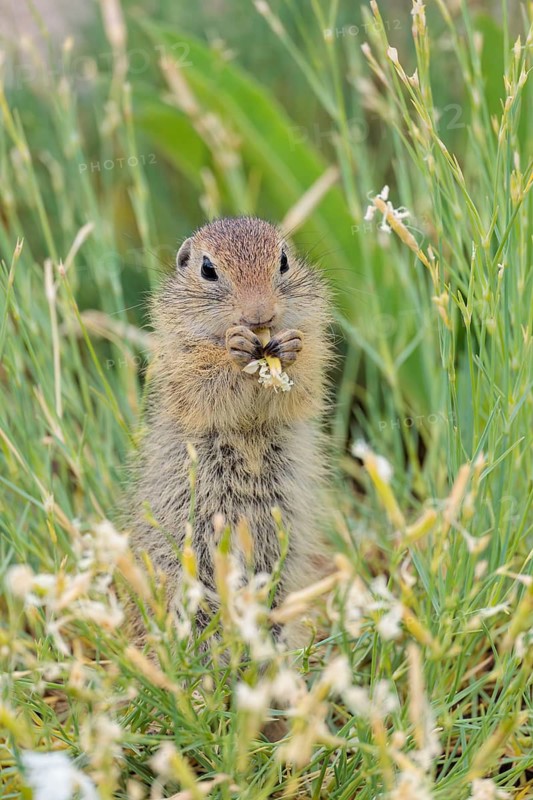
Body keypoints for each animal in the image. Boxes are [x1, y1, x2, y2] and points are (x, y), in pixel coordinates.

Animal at [129, 216, 332, 649]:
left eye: (284, 261)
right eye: (208, 269)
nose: (260, 314)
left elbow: (304, 381)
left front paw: (290, 347)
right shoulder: (182, 361)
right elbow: (206, 383)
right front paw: (235, 348)